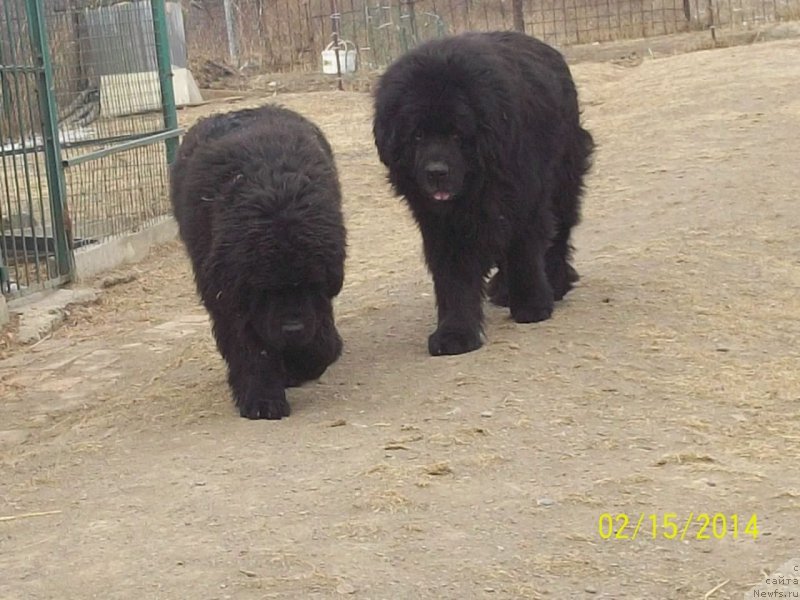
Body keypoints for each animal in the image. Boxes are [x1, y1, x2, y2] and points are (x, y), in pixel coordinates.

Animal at [170, 105, 346, 420]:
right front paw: (263, 399)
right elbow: (249, 348)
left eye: (311, 283)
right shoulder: (229, 296)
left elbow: (319, 343)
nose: (292, 329)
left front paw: (301, 364)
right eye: (265, 290)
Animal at [372, 31, 592, 356]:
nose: (436, 172)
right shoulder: (442, 226)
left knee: (559, 233)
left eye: (456, 134)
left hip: (563, 179)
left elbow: (525, 252)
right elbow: (453, 279)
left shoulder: (524, 199)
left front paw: (531, 305)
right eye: (418, 135)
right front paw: (454, 333)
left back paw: (555, 281)